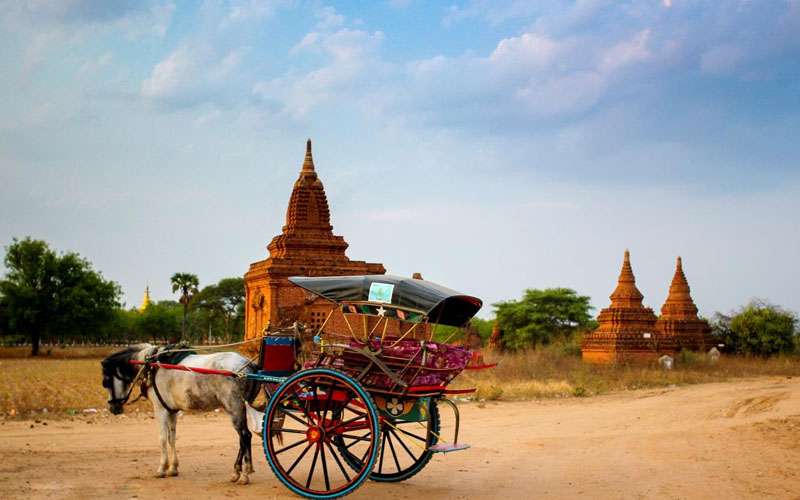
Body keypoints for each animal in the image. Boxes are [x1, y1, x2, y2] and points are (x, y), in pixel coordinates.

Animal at [101, 344, 260, 484]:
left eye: (106, 382)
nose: (113, 408)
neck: (151, 365)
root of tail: (250, 365)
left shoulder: (160, 409)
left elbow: (162, 439)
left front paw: (162, 468)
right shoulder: (171, 411)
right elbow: (172, 438)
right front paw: (173, 468)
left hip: (234, 408)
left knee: (245, 436)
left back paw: (244, 474)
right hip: (241, 409)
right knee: (242, 440)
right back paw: (236, 472)